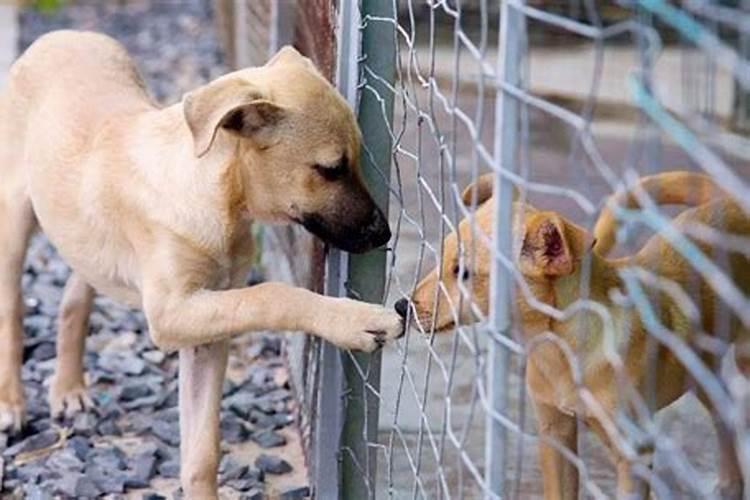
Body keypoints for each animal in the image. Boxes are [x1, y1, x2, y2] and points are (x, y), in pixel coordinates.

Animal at [0, 32, 406, 500]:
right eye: (330, 169)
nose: (383, 234)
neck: (216, 196)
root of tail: (63, 34)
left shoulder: (207, 333)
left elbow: (202, 453)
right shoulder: (173, 312)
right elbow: (272, 294)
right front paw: (356, 320)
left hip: (85, 238)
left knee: (74, 296)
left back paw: (68, 388)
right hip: (14, 217)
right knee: (12, 309)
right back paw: (11, 403)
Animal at [396, 171, 748, 496]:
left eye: (463, 272)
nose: (402, 307)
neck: (562, 349)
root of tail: (730, 203)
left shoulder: (634, 455)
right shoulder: (555, 434)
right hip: (701, 373)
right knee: (723, 413)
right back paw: (731, 483)